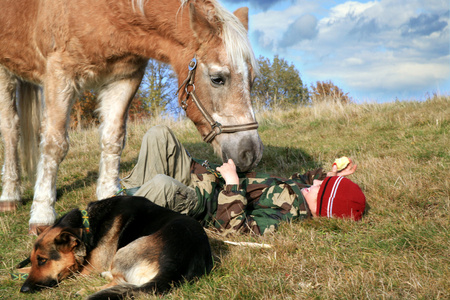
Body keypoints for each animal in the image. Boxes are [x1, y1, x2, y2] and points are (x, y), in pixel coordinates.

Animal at [0, 0, 264, 234]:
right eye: (217, 79)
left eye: (252, 80)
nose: (250, 153)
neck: (108, 11)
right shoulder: (60, 73)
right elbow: (54, 144)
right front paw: (42, 213)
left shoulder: (124, 78)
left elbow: (113, 139)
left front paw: (109, 195)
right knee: (11, 130)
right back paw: (10, 195)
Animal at [18, 196, 213, 298]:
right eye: (34, 260)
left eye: (43, 260)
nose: (23, 290)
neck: (87, 225)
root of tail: (176, 262)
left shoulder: (86, 270)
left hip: (124, 252)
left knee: (119, 282)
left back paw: (86, 289)